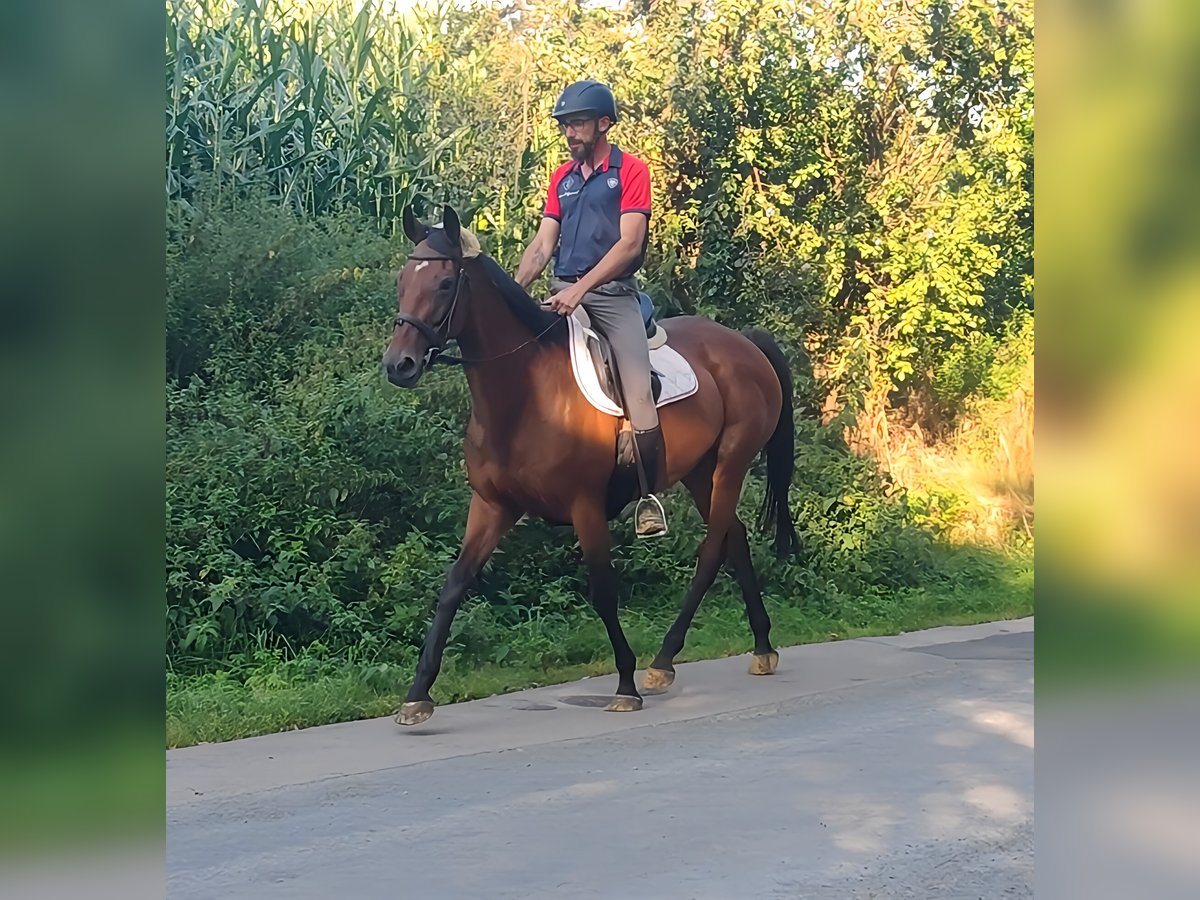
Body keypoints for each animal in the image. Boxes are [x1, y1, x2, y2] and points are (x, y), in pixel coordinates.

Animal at [381, 204, 796, 724]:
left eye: (442, 283)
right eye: (402, 280)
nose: (399, 364)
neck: (526, 395)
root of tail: (744, 342)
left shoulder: (585, 507)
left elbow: (602, 590)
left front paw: (625, 684)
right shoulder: (493, 506)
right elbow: (454, 585)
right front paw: (418, 694)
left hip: (731, 464)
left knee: (712, 551)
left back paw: (663, 661)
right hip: (702, 472)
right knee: (735, 539)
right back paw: (759, 647)